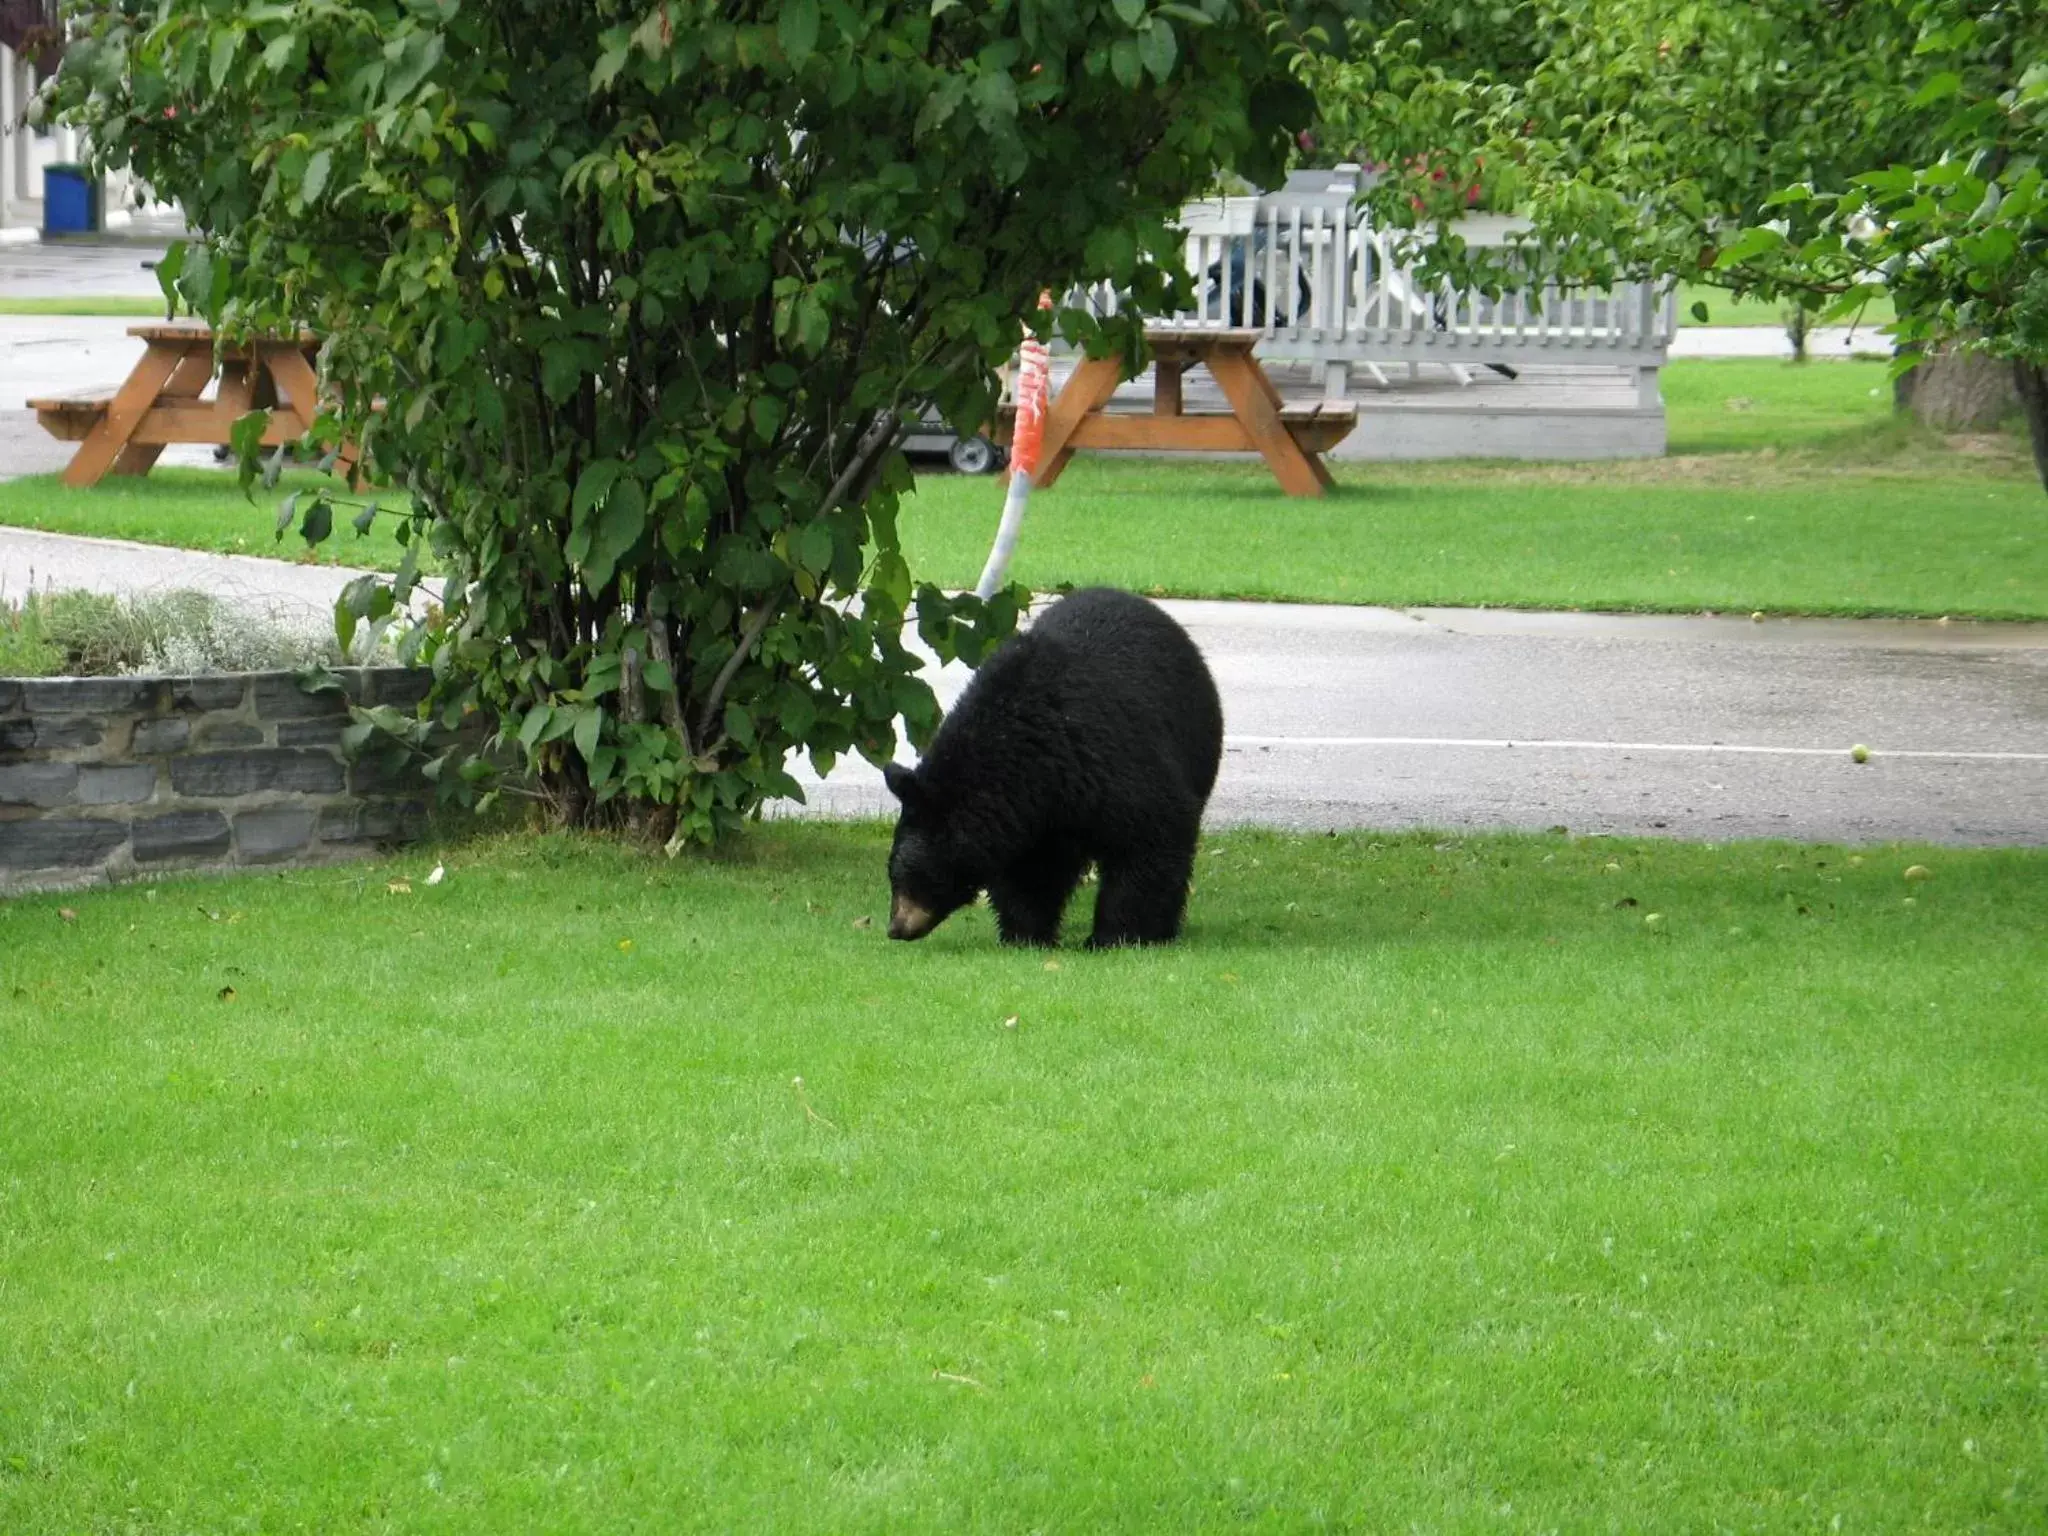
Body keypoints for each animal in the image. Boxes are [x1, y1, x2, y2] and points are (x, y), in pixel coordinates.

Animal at [876, 589, 1212, 950]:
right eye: (893, 872)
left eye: (906, 874)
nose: (895, 928)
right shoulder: (1029, 817)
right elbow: (1030, 874)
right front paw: (1027, 934)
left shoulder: (1108, 758)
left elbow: (1150, 836)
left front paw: (1116, 934)